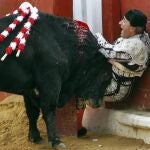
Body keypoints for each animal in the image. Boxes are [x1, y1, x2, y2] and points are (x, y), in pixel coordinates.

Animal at [0, 12, 112, 149]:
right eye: (106, 75)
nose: (97, 103)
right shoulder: (51, 83)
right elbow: (49, 111)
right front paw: (56, 141)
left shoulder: (29, 89)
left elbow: (32, 112)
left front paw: (35, 137)